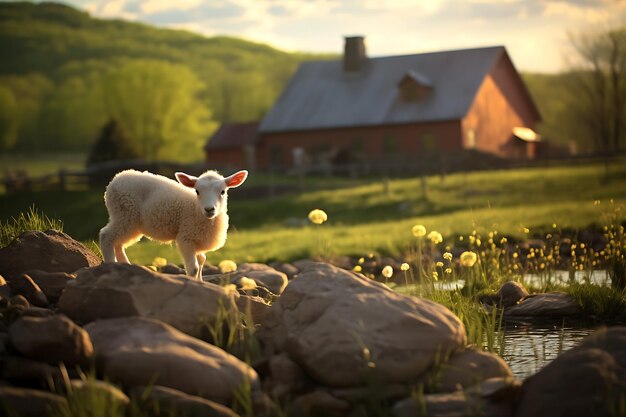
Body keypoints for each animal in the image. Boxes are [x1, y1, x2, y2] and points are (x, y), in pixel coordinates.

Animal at [98, 169, 247, 280]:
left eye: (223, 191)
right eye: (197, 191)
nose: (209, 209)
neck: (196, 209)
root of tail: (116, 179)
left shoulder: (198, 239)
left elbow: (201, 261)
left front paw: (201, 282)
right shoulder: (186, 237)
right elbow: (193, 269)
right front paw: (194, 282)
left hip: (129, 221)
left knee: (118, 243)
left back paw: (125, 265)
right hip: (125, 214)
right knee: (106, 236)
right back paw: (111, 264)